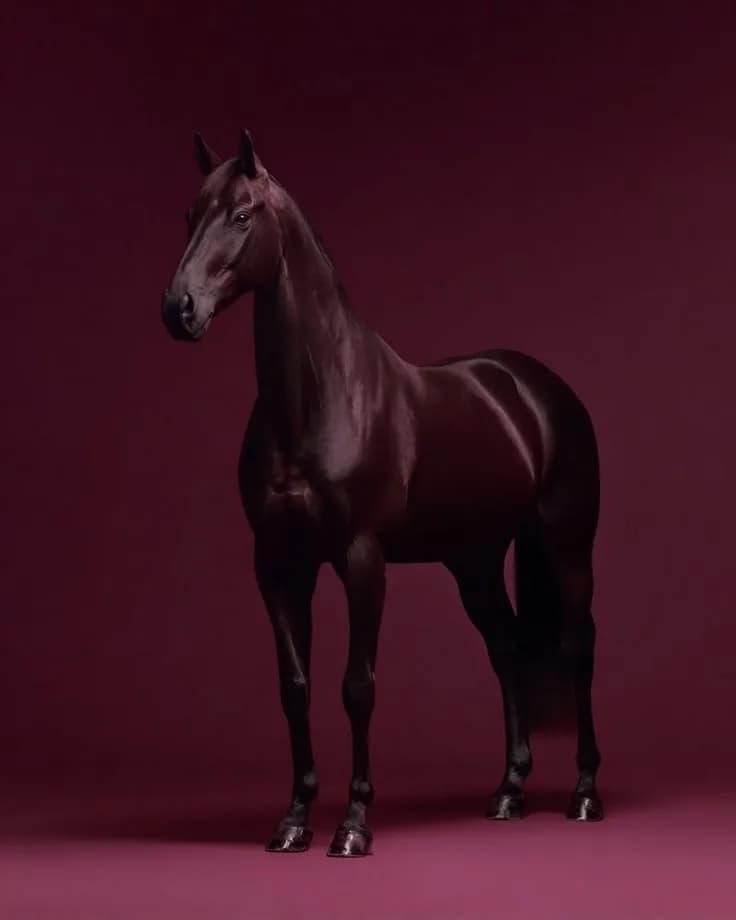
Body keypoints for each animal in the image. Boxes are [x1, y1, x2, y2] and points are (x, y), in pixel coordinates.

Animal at [160, 130, 603, 858]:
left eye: (243, 215)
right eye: (190, 216)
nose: (179, 310)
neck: (316, 399)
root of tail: (536, 387)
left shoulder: (362, 560)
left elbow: (356, 687)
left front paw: (352, 825)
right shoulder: (278, 565)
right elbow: (295, 686)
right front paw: (293, 820)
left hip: (566, 547)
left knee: (577, 645)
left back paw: (586, 793)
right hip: (474, 561)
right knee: (507, 648)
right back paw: (508, 791)